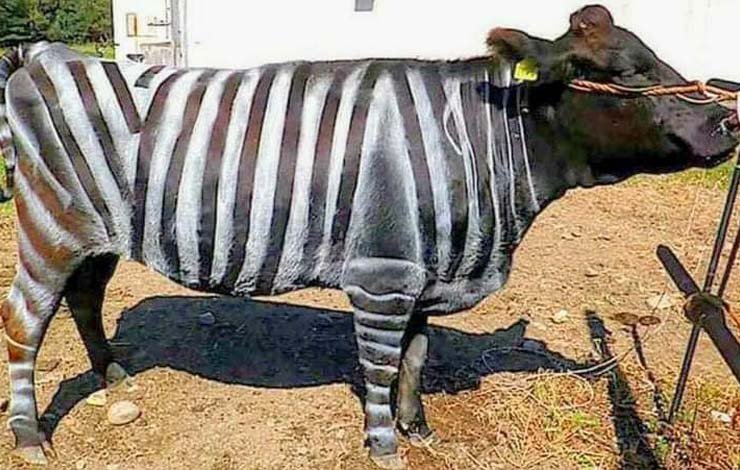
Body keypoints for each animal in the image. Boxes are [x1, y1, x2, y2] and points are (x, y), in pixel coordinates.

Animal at [0, 5, 737, 468]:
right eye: (630, 72)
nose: (727, 121)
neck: (483, 147)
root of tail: (45, 54)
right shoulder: (383, 275)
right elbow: (382, 365)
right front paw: (385, 445)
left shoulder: (426, 271)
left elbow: (416, 357)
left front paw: (419, 428)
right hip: (49, 227)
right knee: (24, 323)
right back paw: (30, 436)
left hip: (99, 234)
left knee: (86, 298)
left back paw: (112, 373)